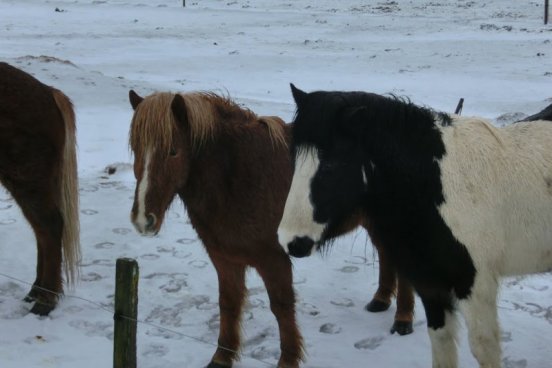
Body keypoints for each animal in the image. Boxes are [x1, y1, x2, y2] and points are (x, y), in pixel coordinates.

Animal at [0, 61, 80, 314]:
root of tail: (48, 93)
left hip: (27, 179)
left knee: (49, 226)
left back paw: (45, 300)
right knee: (41, 230)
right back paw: (37, 291)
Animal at [128, 90, 414, 368]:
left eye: (173, 151)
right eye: (135, 149)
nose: (143, 219)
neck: (239, 178)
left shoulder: (274, 259)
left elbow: (281, 306)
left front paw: (288, 359)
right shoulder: (224, 258)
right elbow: (228, 303)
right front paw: (222, 357)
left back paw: (403, 320)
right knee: (387, 255)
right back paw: (380, 300)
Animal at [280, 84, 552, 368]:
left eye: (332, 164)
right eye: (294, 159)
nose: (291, 241)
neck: (437, 187)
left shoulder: (476, 285)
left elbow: (483, 348)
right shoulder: (431, 286)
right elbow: (442, 346)